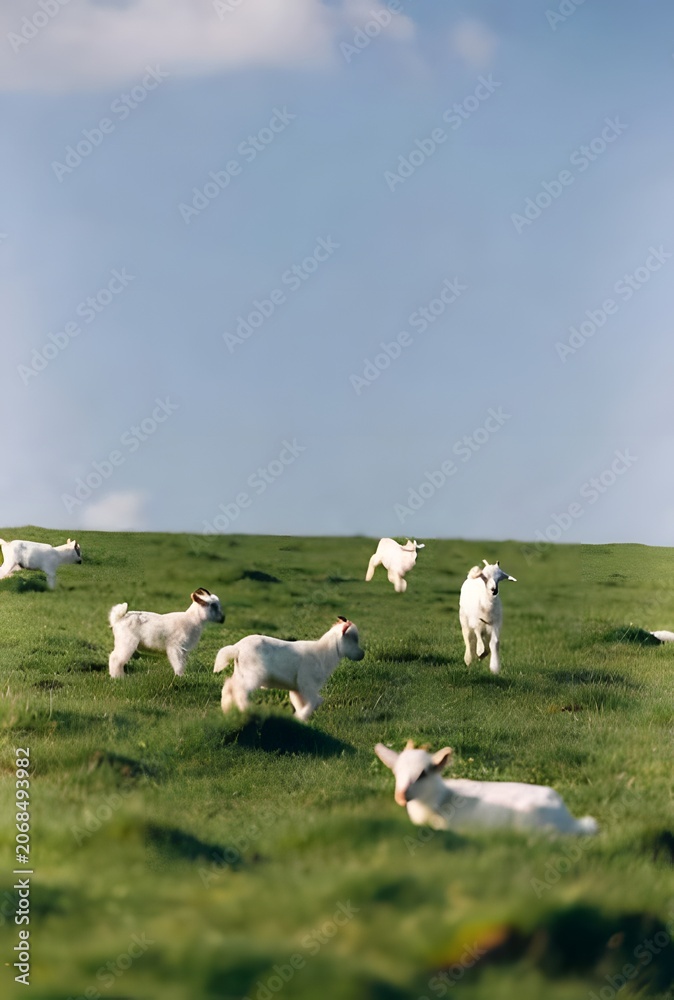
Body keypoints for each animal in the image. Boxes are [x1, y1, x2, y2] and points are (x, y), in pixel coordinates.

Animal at [214, 617, 364, 721]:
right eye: (354, 639)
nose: (362, 654)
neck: (324, 654)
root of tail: (237, 648)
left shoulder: (297, 689)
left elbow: (301, 703)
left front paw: (301, 720)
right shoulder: (307, 684)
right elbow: (315, 701)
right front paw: (300, 717)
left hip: (241, 673)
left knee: (229, 686)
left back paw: (227, 709)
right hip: (253, 675)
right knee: (240, 691)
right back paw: (246, 710)